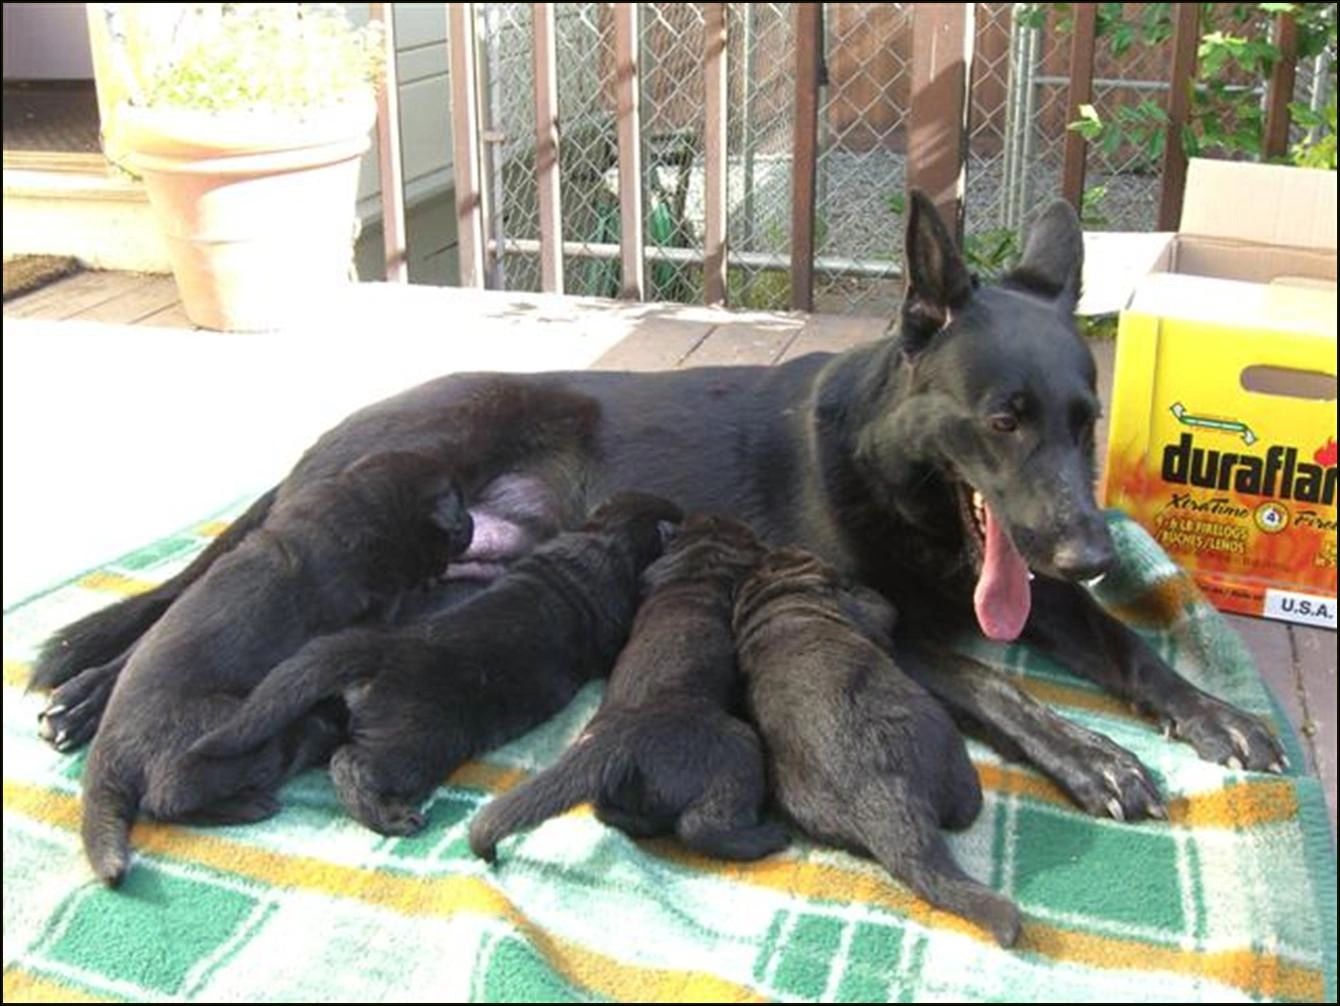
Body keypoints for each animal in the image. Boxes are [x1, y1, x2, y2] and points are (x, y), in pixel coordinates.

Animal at [78, 452, 474, 884]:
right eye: (458, 503)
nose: (473, 521)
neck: (361, 508)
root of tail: (107, 753)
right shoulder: (367, 612)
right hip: (237, 739)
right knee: (164, 800)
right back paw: (250, 804)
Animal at [728, 546, 1018, 948]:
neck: (781, 603)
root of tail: (885, 799)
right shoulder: (867, 608)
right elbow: (882, 608)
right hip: (947, 745)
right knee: (965, 806)